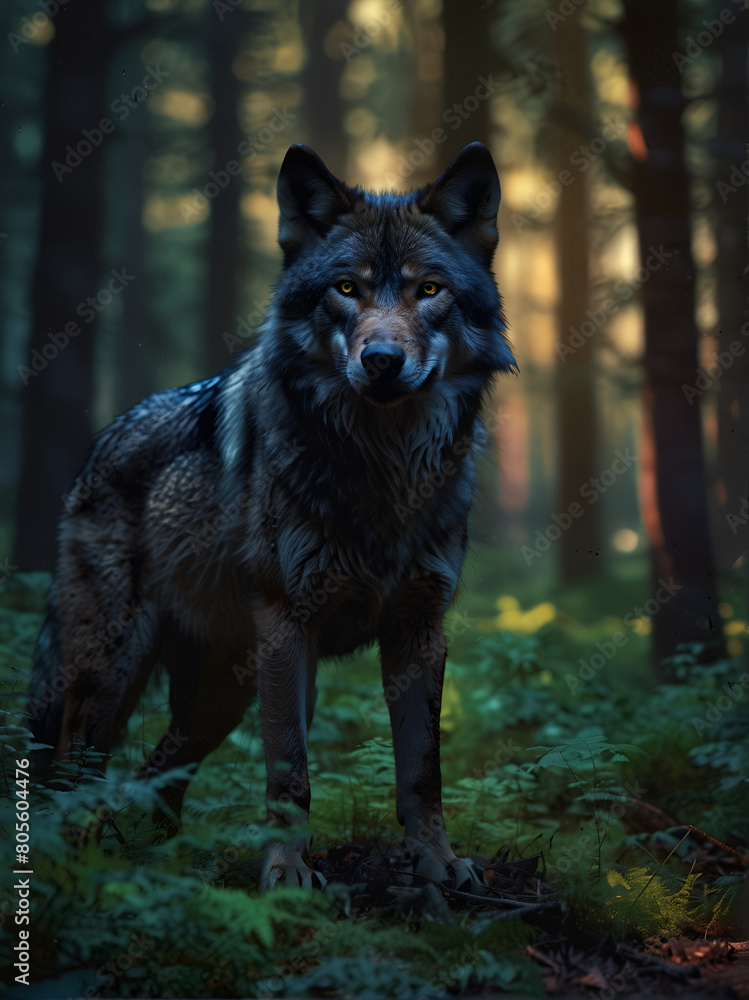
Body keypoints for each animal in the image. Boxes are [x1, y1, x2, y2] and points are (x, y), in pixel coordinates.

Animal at [30, 141, 516, 890]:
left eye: (429, 291)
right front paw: (286, 877)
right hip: (111, 673)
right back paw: (80, 881)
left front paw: (439, 865)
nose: (381, 360)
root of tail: (103, 441)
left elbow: (422, 771)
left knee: (149, 781)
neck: (383, 468)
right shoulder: (288, 627)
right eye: (345, 288)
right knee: (72, 778)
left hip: (218, 699)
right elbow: (290, 771)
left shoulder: (419, 630)